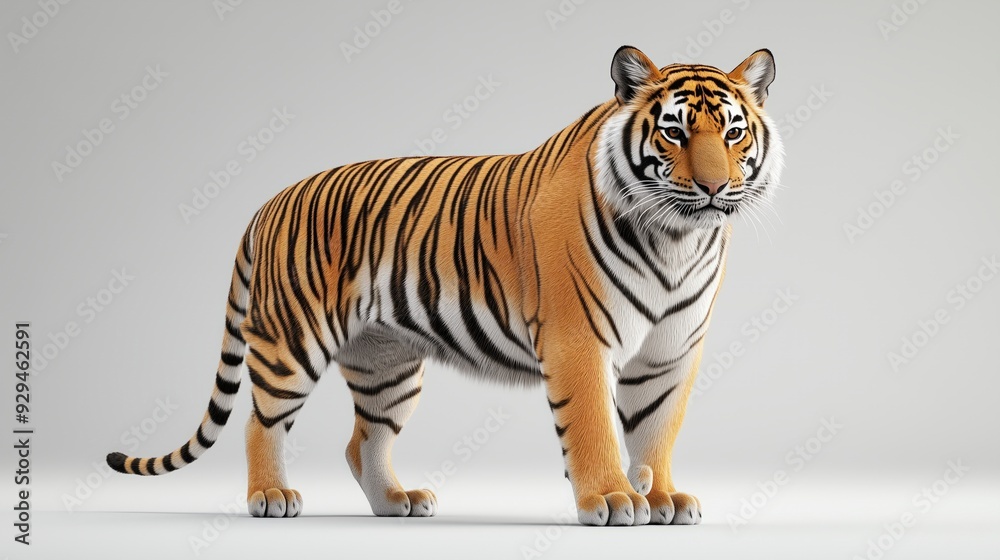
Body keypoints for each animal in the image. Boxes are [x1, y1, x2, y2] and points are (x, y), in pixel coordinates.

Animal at [106, 46, 783, 526]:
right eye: (673, 132)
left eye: (733, 132)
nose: (714, 187)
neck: (677, 238)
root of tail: (269, 202)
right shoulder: (579, 341)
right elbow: (594, 426)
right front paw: (614, 500)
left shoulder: (672, 351)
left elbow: (656, 427)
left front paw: (663, 497)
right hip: (291, 343)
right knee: (260, 422)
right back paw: (272, 495)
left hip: (387, 362)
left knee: (363, 440)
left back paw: (395, 502)